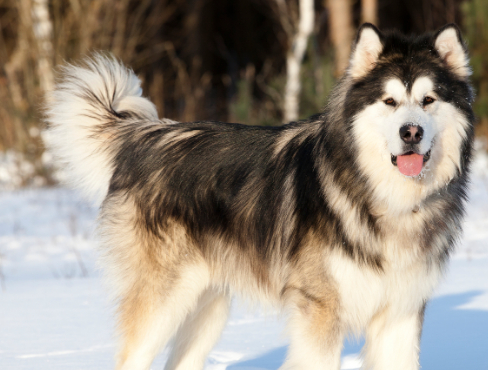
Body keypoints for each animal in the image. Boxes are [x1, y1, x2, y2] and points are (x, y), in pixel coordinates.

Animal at [44, 23, 472, 370]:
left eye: (429, 100)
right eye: (390, 102)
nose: (411, 132)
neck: (386, 198)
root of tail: (147, 136)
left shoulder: (400, 316)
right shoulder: (320, 313)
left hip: (208, 306)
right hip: (162, 303)